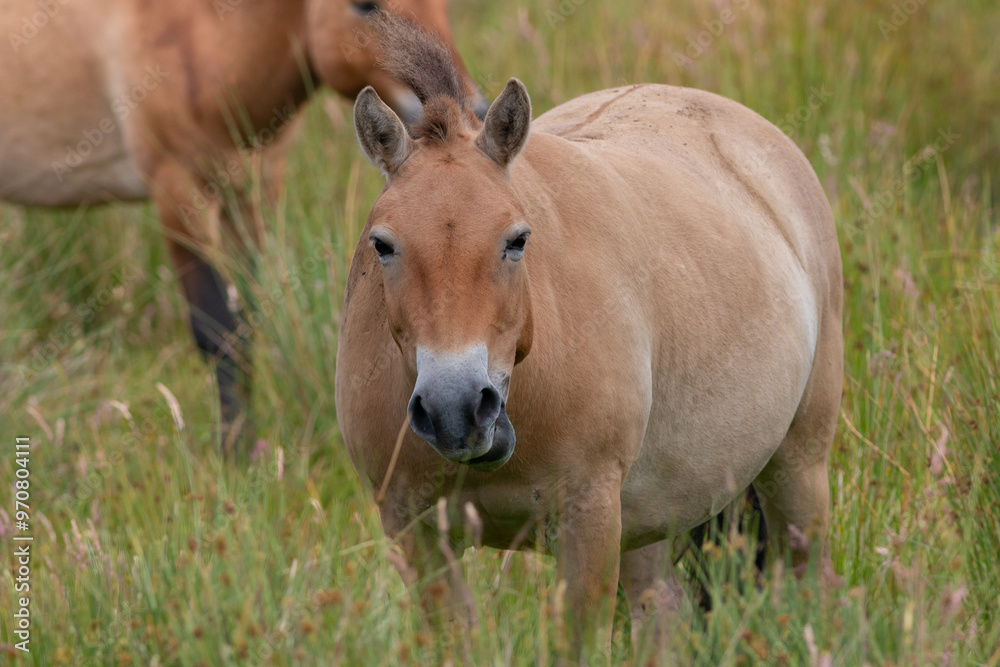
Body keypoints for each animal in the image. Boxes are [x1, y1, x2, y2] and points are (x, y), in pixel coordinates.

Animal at [0, 0, 486, 455]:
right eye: (365, 5)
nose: (473, 110)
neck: (208, 41)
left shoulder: (252, 196)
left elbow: (248, 321)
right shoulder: (180, 197)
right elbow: (217, 331)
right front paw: (233, 456)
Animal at [336, 16, 843, 653]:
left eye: (517, 239)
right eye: (382, 244)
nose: (456, 409)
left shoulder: (588, 519)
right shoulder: (415, 531)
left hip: (798, 468)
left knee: (808, 579)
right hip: (650, 517)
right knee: (663, 615)